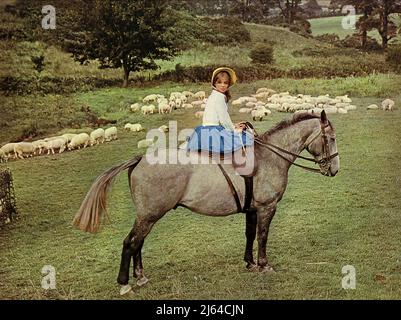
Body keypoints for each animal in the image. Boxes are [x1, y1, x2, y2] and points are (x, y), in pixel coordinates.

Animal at [72, 110, 338, 292]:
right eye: (332, 138)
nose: (334, 169)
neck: (269, 157)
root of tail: (140, 159)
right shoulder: (266, 208)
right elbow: (262, 237)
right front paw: (264, 265)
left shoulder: (252, 210)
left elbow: (250, 235)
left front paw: (250, 263)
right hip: (149, 215)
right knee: (131, 243)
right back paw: (125, 283)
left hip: (147, 216)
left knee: (138, 243)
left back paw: (141, 276)